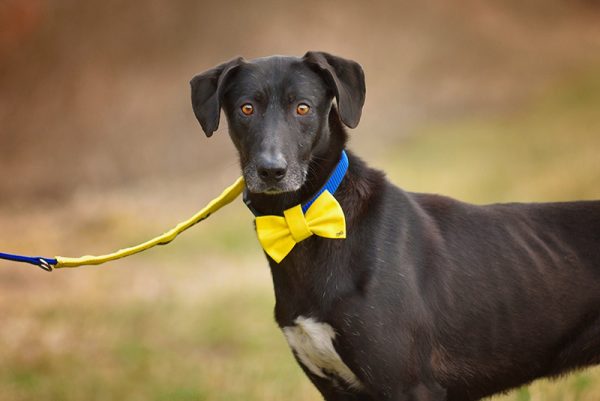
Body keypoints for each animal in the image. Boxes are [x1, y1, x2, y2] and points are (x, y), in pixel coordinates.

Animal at [191, 51, 600, 398]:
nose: (271, 170)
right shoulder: (336, 389)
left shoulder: (412, 387)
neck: (307, 222)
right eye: (246, 108)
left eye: (302, 108)